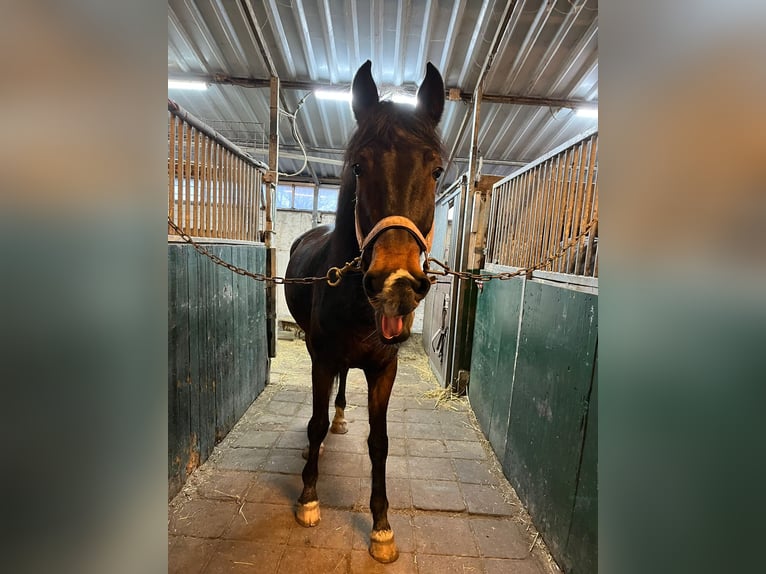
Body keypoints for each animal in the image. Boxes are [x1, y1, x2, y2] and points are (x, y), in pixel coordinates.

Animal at [284, 60, 445, 563]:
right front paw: (308, 499)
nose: (397, 283)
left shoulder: (383, 369)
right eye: (358, 165)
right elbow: (314, 423)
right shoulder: (321, 359)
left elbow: (379, 442)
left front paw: (381, 527)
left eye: (437, 170)